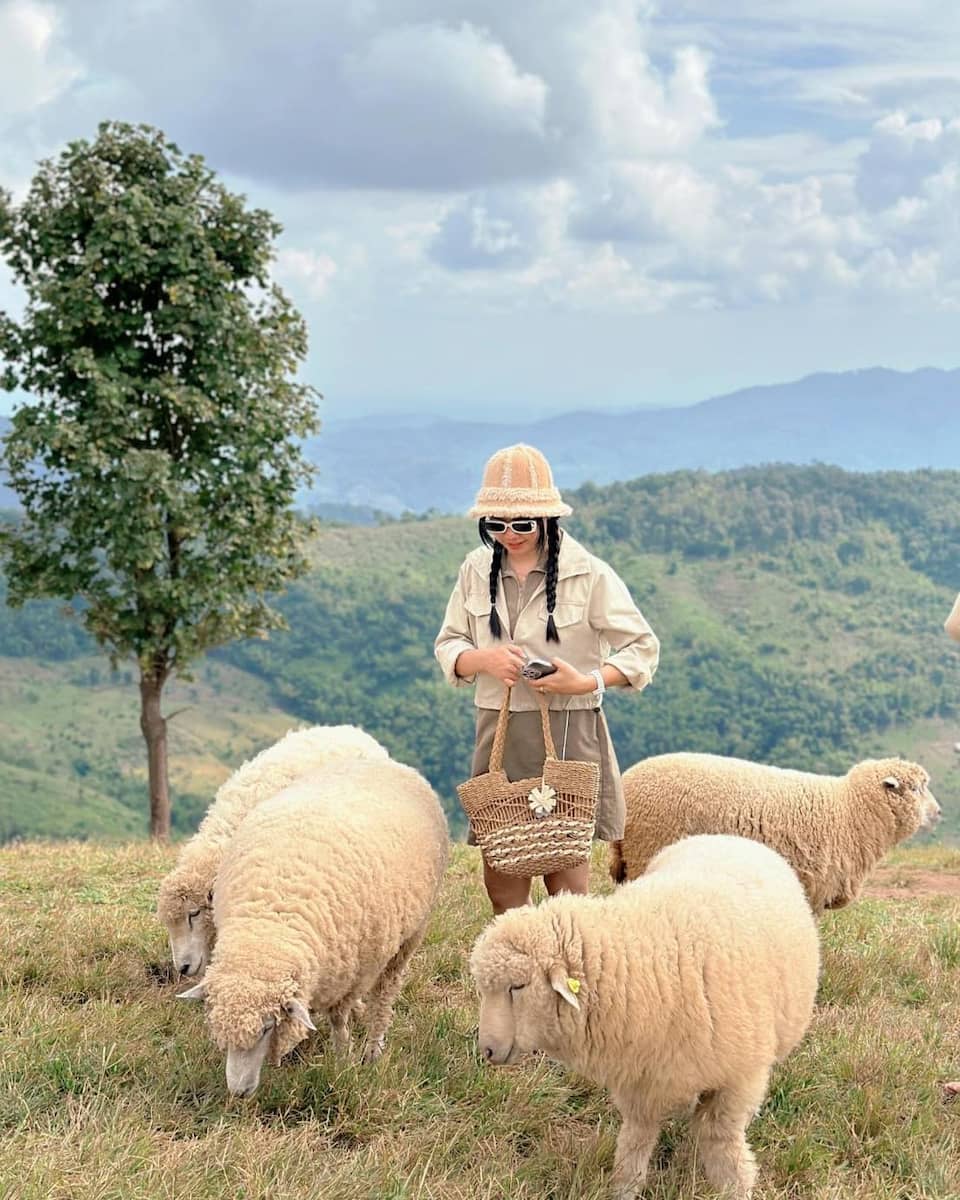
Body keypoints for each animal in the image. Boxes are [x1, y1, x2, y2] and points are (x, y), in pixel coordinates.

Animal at [177, 758, 448, 1099]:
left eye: (267, 1027)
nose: (238, 1092)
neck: (269, 925)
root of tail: (393, 764)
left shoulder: (352, 975)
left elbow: (339, 1021)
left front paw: (343, 1060)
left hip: (409, 936)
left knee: (385, 993)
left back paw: (373, 1048)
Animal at [470, 835, 816, 1200]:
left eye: (518, 986)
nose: (487, 1049)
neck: (644, 959)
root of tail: (726, 837)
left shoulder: (738, 1077)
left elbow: (721, 1137)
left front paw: (733, 1186)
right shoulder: (640, 1077)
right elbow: (637, 1136)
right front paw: (625, 1186)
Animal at [612, 753, 940, 912]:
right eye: (915, 788)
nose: (939, 813)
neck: (849, 811)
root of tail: (627, 780)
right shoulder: (815, 890)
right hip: (647, 848)